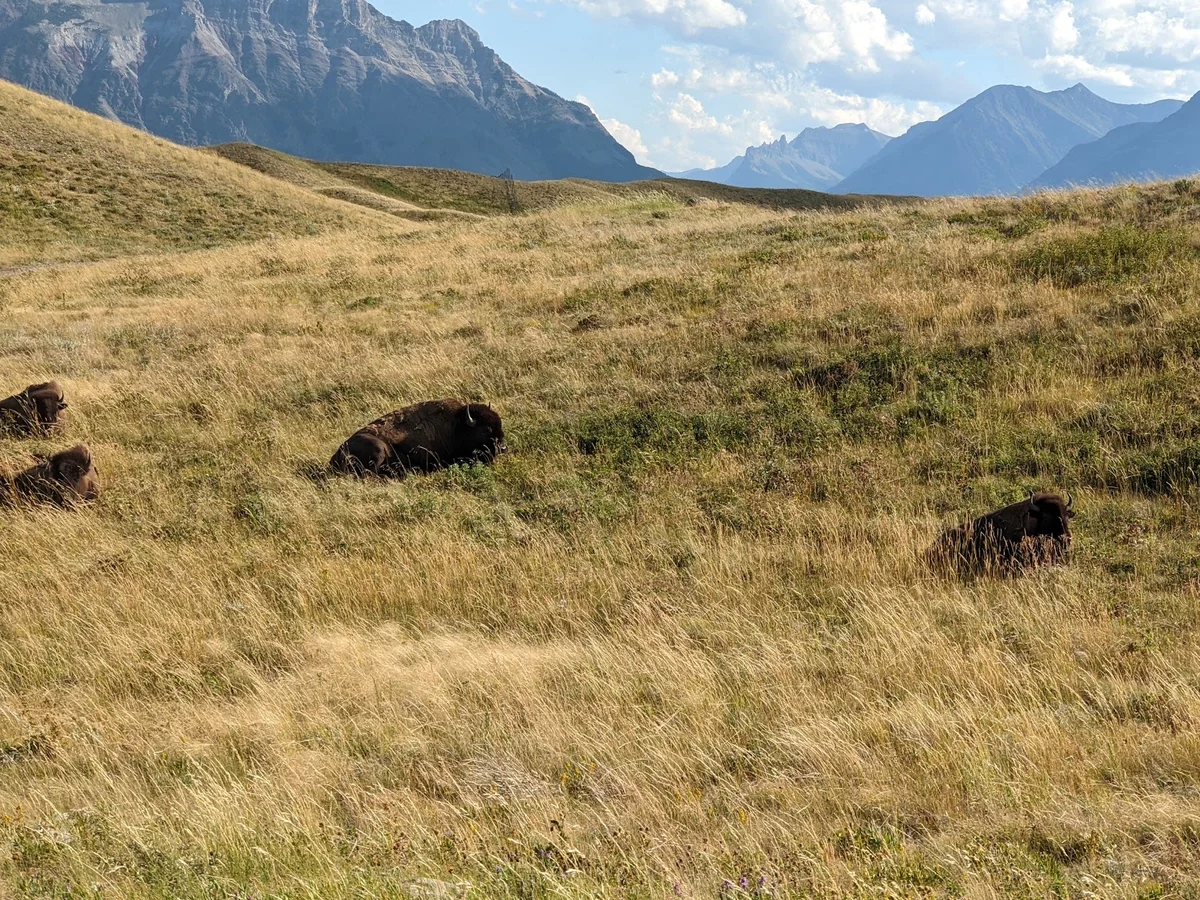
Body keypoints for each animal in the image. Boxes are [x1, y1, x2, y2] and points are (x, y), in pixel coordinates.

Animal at [330, 399, 506, 477]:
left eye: (500, 424)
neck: (456, 426)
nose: (503, 447)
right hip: (378, 448)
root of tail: (336, 455)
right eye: (486, 430)